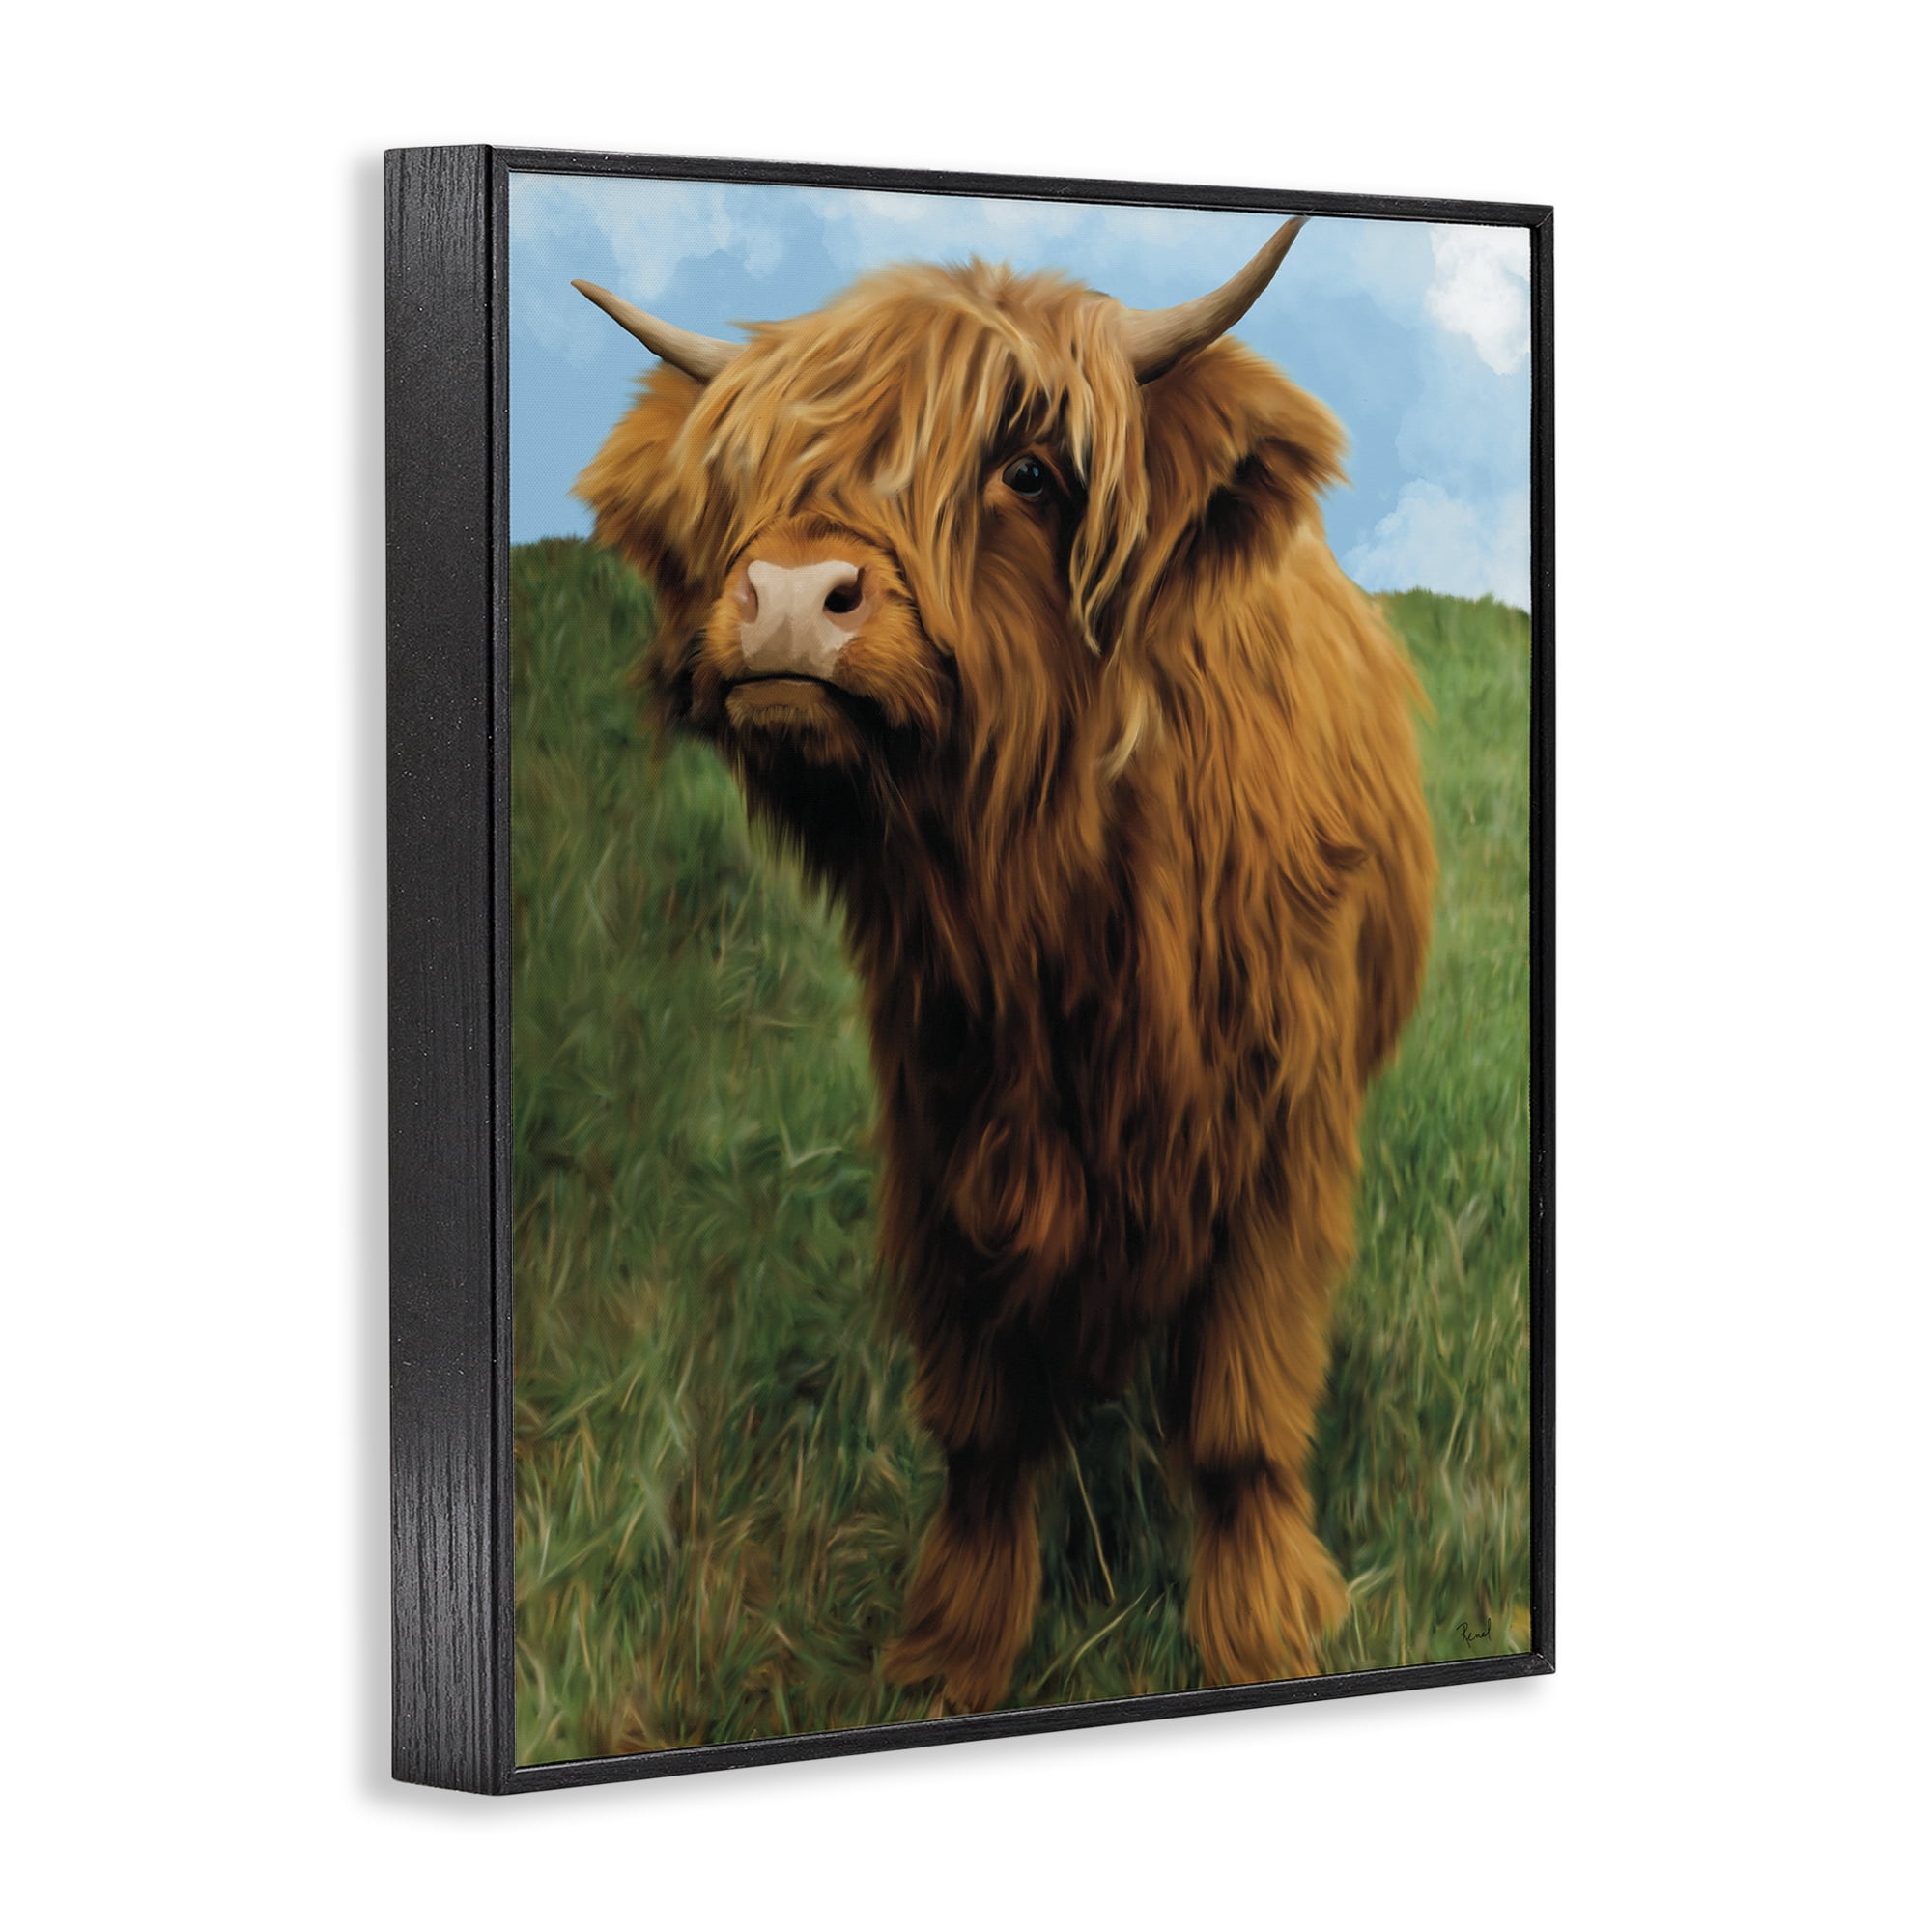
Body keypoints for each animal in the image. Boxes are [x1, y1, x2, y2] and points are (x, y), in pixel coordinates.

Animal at [573, 215, 1436, 1712]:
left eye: (1026, 470)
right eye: (748, 473)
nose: (788, 600)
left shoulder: (1282, 1132)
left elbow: (1240, 1409)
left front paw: (1265, 1630)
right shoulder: (941, 1114)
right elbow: (978, 1416)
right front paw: (951, 1652)